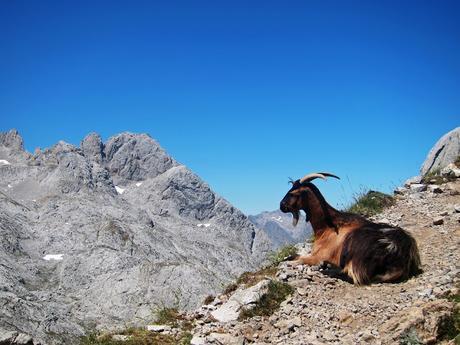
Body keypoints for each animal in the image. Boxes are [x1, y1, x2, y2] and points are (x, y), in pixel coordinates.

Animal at [280, 171, 420, 284]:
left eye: (293, 193)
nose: (281, 206)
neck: (326, 227)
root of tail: (400, 249)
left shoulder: (319, 255)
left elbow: (300, 259)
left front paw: (291, 262)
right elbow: (294, 255)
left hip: (356, 247)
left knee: (350, 274)